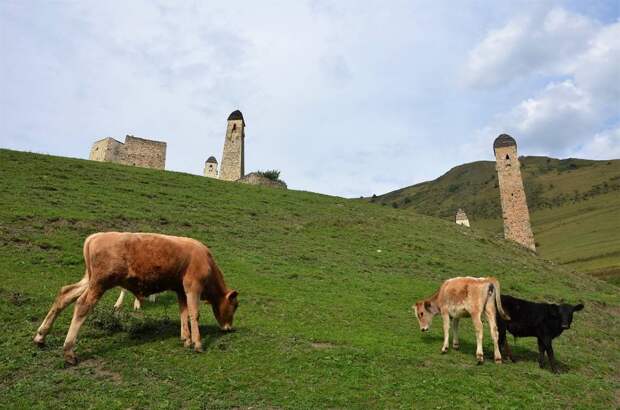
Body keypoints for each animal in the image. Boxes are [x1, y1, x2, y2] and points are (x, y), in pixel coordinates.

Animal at [33, 232, 240, 364]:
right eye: (235, 306)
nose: (229, 328)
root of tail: (95, 236)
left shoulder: (180, 289)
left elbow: (183, 313)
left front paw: (186, 338)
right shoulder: (192, 286)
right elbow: (194, 313)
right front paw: (197, 343)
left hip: (89, 279)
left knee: (65, 294)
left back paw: (41, 336)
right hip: (100, 283)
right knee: (82, 305)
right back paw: (68, 351)